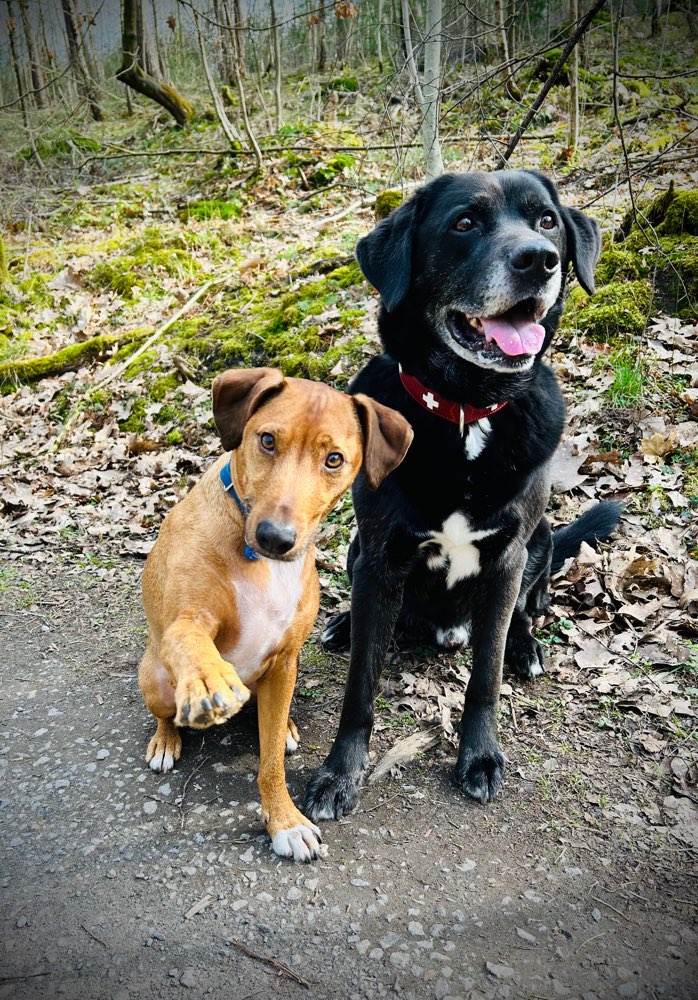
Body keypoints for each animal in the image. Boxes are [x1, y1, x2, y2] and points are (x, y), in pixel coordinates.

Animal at [137, 368, 410, 860]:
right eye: (266, 440)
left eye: (334, 459)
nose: (275, 538)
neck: (256, 559)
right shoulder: (189, 620)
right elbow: (190, 639)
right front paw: (207, 678)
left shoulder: (284, 661)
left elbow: (270, 767)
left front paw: (283, 820)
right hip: (154, 681)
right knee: (165, 711)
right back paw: (167, 738)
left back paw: (283, 728)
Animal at [304, 168, 620, 816]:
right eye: (465, 223)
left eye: (546, 219)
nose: (540, 259)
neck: (466, 411)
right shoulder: (380, 554)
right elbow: (360, 686)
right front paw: (339, 773)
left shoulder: (506, 559)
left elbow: (485, 677)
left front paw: (479, 755)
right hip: (355, 549)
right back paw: (344, 624)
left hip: (540, 540)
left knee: (527, 609)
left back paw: (526, 647)